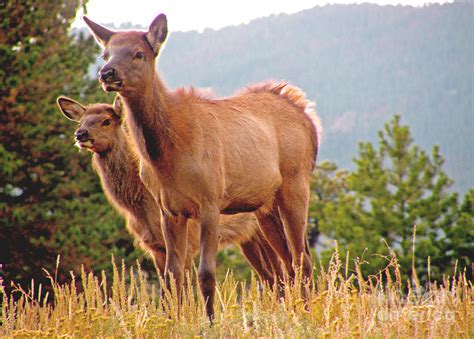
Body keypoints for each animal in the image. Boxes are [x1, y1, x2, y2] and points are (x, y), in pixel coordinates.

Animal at [84, 13, 322, 322]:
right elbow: (172, 277)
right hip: (265, 206)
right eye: (105, 53)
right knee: (287, 263)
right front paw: (175, 321)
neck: (166, 158)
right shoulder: (169, 211)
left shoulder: (210, 201)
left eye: (138, 53)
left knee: (301, 258)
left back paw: (307, 313)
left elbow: (206, 274)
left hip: (296, 183)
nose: (107, 73)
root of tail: (307, 119)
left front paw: (209, 322)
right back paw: (292, 313)